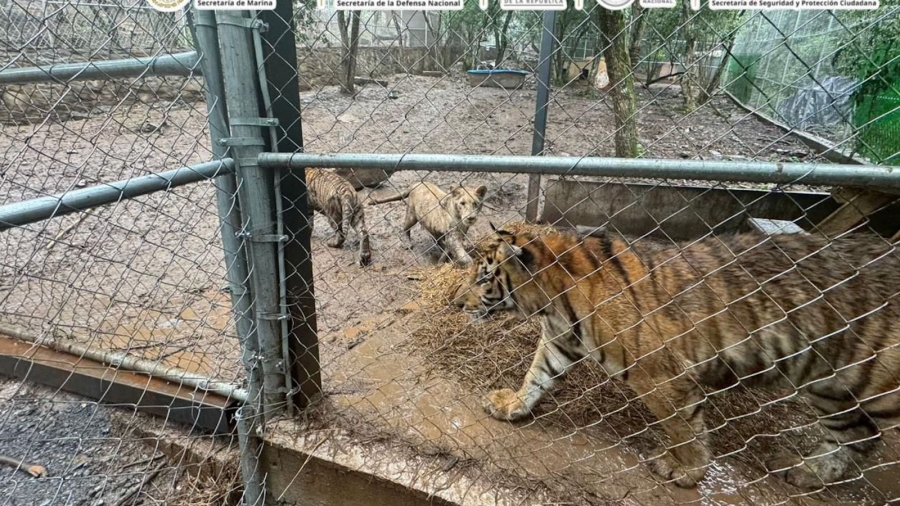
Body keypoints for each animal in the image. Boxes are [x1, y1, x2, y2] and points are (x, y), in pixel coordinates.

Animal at [453, 223, 900, 490]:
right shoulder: (560, 341)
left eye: (483, 277)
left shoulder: (660, 375)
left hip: (871, 384)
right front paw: (512, 405)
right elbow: (537, 376)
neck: (551, 300)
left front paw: (687, 470)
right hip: (830, 384)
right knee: (858, 435)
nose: (456, 302)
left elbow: (683, 426)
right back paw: (809, 471)